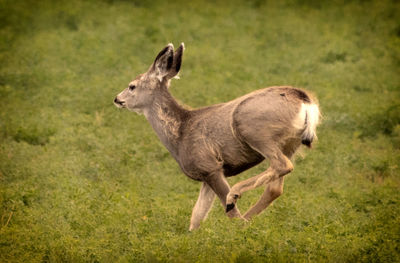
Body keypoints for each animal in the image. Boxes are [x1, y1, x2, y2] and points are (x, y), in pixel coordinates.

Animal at [114, 43, 320, 231]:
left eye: (132, 86)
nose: (117, 99)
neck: (181, 134)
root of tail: (305, 101)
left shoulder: (210, 166)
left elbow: (228, 214)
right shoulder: (207, 175)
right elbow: (196, 218)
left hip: (253, 129)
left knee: (281, 165)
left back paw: (234, 197)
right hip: (290, 143)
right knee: (275, 187)